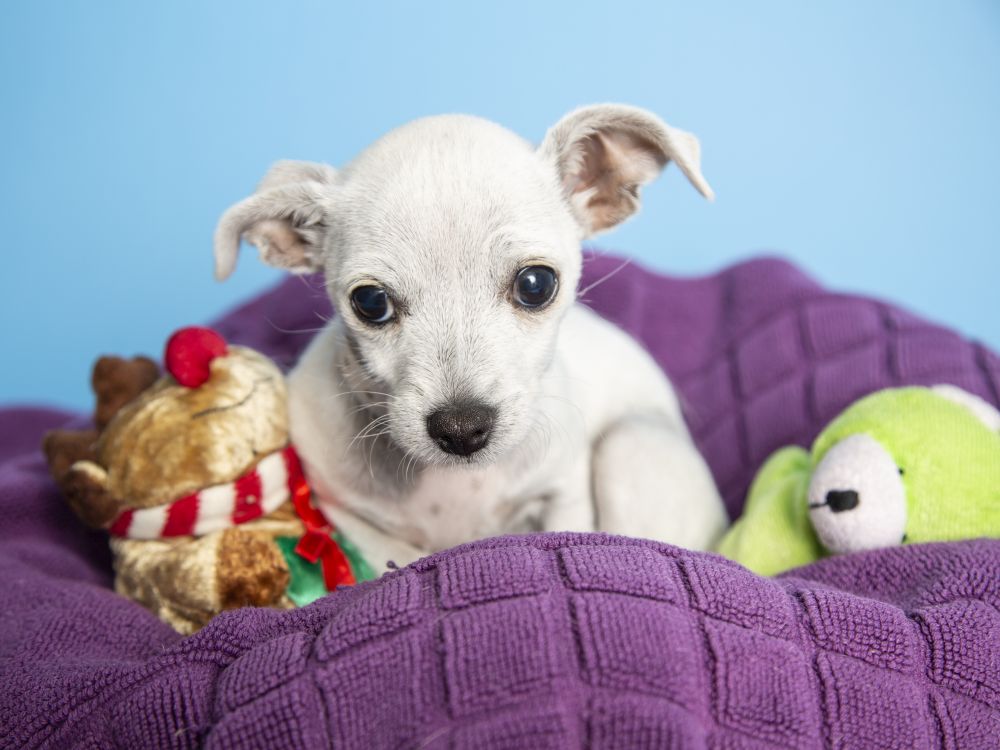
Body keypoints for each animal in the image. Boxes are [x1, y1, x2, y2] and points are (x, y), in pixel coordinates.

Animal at [215, 103, 728, 568]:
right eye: (371, 303)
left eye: (535, 285)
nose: (461, 428)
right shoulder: (345, 515)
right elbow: (396, 563)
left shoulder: (563, 493)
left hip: (632, 444)